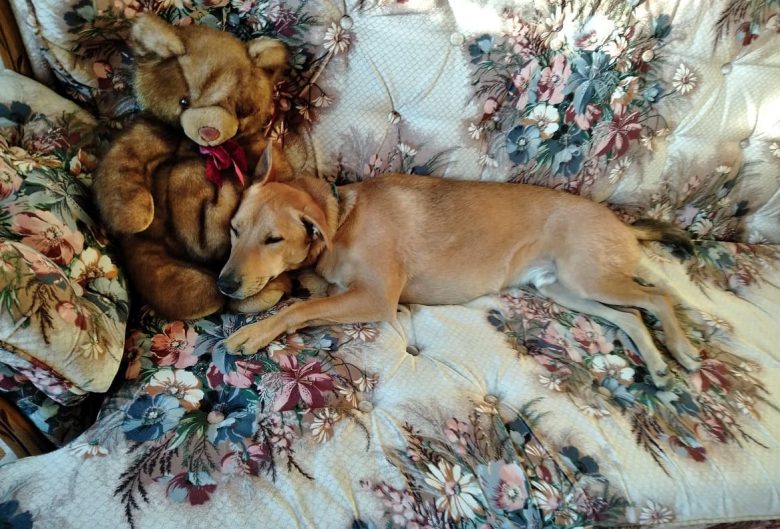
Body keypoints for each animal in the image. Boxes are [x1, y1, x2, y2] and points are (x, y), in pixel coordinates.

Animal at [218, 146, 700, 386]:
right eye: (234, 230)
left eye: (274, 239)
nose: (223, 285)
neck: (341, 219)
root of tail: (622, 222)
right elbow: (308, 294)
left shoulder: (376, 297)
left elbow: (300, 308)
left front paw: (254, 331)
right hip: (564, 289)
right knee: (632, 314)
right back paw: (658, 366)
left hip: (589, 277)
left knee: (658, 296)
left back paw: (681, 349)